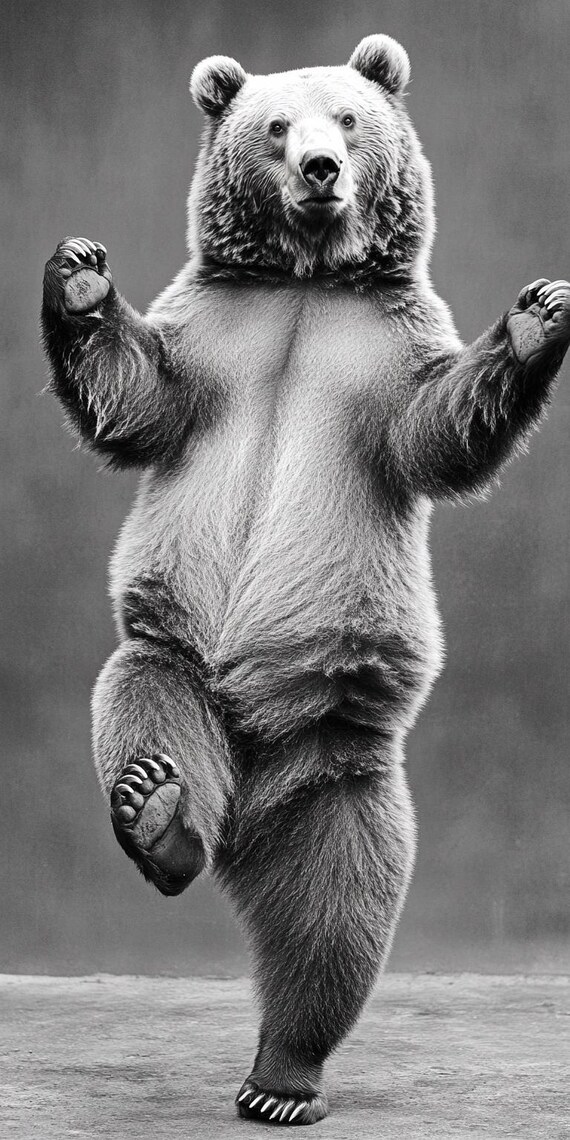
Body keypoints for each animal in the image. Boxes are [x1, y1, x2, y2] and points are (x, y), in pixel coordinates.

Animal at [41, 34, 570, 1127]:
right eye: (277, 126)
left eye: (350, 117)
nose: (323, 169)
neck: (306, 285)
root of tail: (248, 801)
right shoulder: (210, 331)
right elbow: (138, 401)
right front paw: (76, 277)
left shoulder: (386, 348)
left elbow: (432, 432)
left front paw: (539, 316)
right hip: (175, 657)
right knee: (140, 707)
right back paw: (159, 815)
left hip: (341, 752)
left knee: (338, 911)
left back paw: (285, 1076)